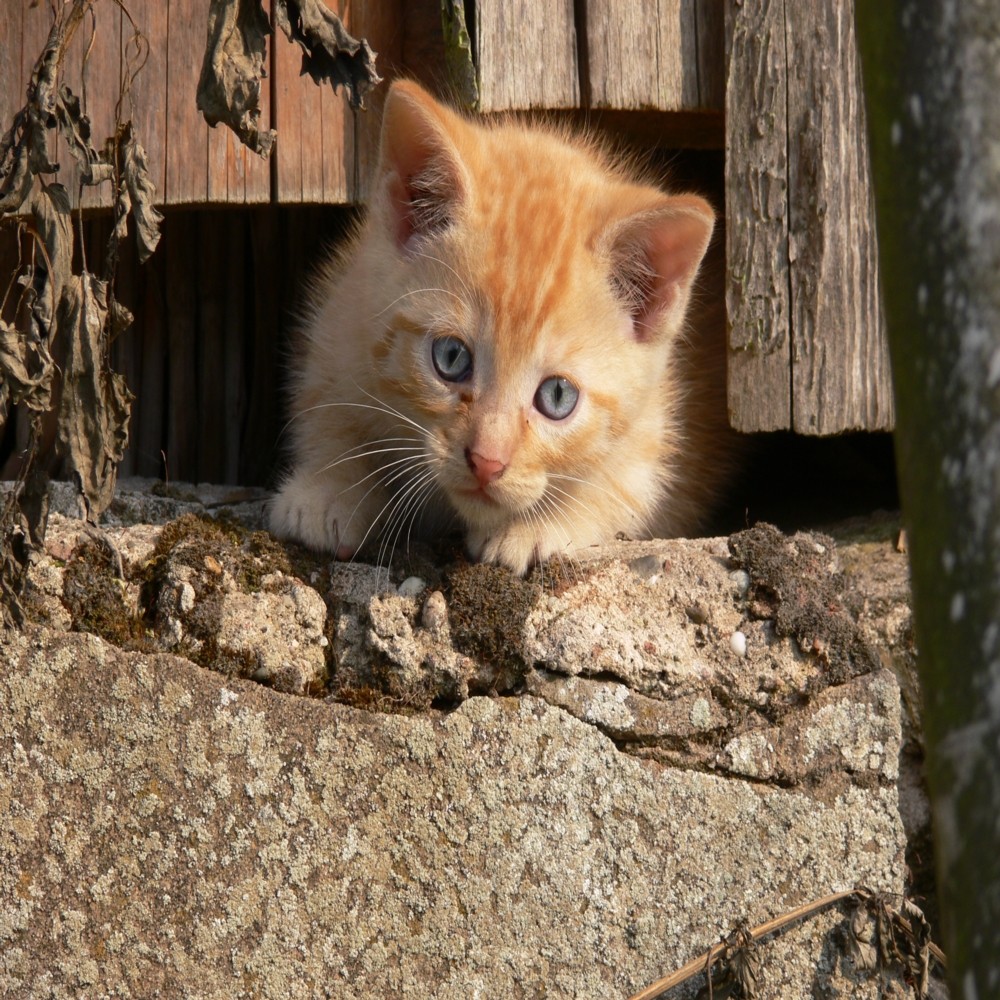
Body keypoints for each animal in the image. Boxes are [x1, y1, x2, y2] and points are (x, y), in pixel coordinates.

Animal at [270, 77, 732, 576]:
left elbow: (622, 490)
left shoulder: (657, 432)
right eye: (452, 357)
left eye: (557, 396)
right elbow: (325, 409)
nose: (487, 462)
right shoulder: (342, 320)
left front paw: (534, 527)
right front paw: (329, 488)